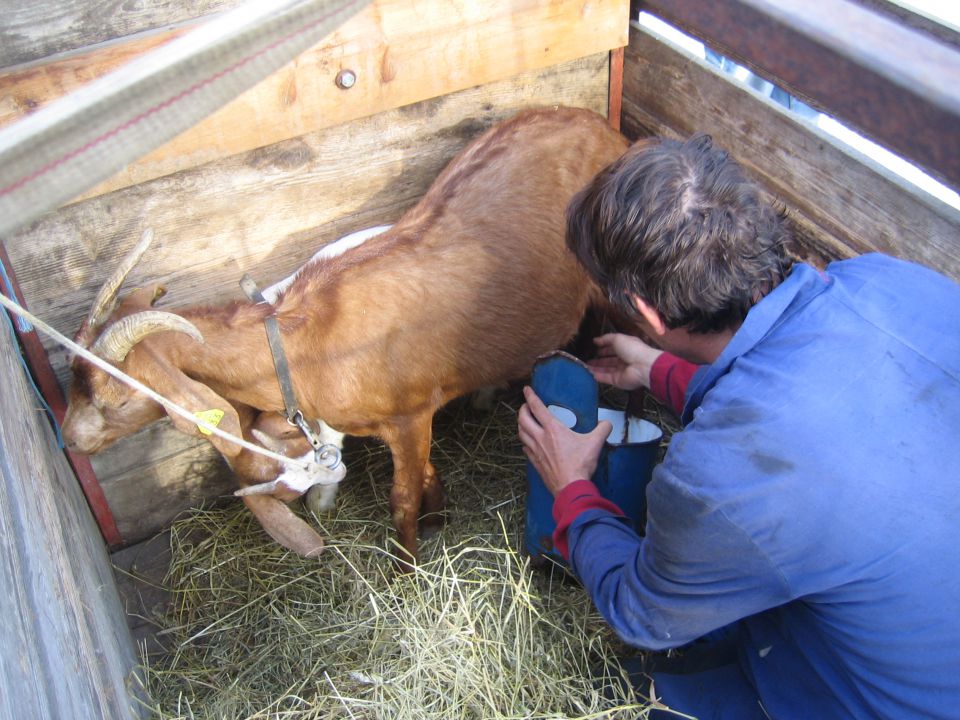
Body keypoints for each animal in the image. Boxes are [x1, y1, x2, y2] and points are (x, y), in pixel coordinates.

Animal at [60, 108, 632, 568]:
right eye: (73, 378)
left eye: (115, 399)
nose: (69, 441)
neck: (303, 346)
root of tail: (606, 129)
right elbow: (426, 473)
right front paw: (437, 520)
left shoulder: (410, 413)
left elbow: (403, 494)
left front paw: (407, 567)